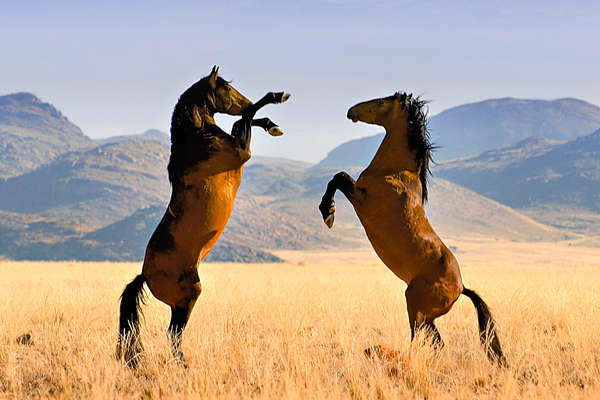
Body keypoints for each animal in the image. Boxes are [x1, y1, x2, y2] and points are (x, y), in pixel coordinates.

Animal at [116, 66, 290, 368]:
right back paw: (184, 365)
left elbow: (244, 120)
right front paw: (277, 97)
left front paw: (272, 124)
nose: (242, 100)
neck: (198, 139)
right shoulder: (241, 151)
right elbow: (247, 117)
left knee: (173, 333)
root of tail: (144, 275)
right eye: (226, 88)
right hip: (188, 296)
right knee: (173, 333)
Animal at [318, 91, 506, 366]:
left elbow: (339, 177)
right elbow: (337, 176)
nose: (351, 111)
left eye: (381, 102)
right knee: (435, 342)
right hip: (426, 315)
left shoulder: (362, 200)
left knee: (422, 339)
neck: (394, 171)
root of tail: (461, 288)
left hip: (415, 306)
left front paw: (328, 213)